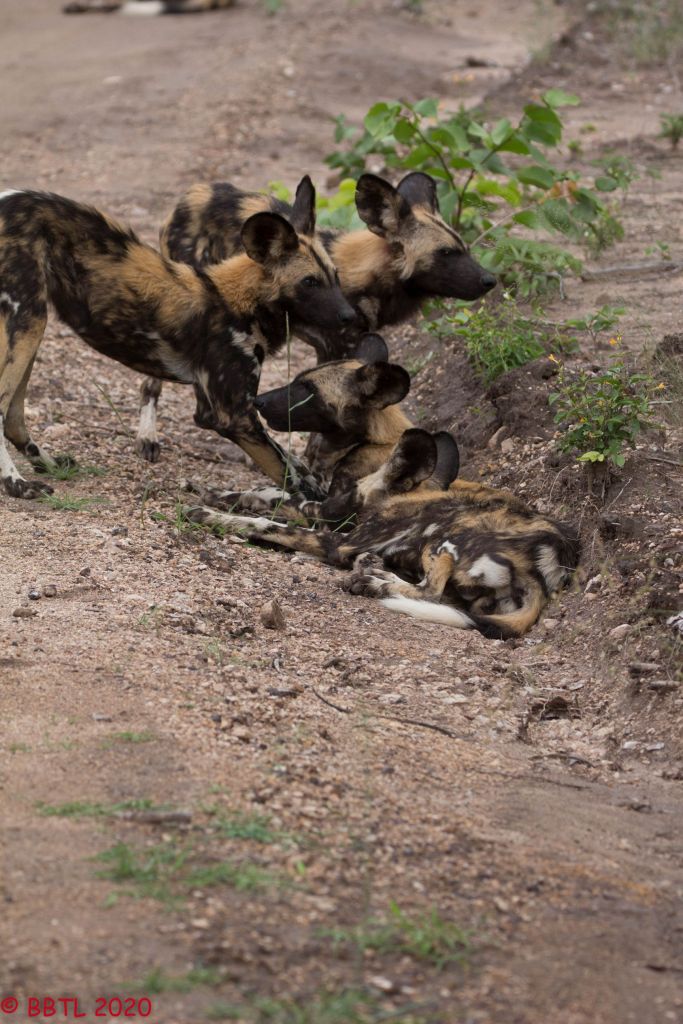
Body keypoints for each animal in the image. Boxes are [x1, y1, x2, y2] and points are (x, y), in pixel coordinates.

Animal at [0, 189, 357, 500]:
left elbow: (291, 461)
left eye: (336, 277)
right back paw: (17, 485)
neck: (242, 305)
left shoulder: (215, 410)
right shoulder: (234, 416)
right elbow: (287, 472)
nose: (350, 316)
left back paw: (47, 464)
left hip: (32, 328)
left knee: (13, 419)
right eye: (309, 282)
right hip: (28, 323)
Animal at [138, 171, 496, 461]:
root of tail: (197, 192)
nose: (491, 280)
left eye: (465, 249)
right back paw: (148, 437)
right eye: (445, 253)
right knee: (153, 382)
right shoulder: (336, 346)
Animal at [185, 427, 580, 639]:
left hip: (444, 540)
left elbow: (272, 523)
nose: (329, 504)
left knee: (431, 591)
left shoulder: (338, 540)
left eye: (346, 490)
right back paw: (374, 569)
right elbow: (273, 496)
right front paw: (215, 494)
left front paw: (211, 514)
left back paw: (374, 581)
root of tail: (547, 574)